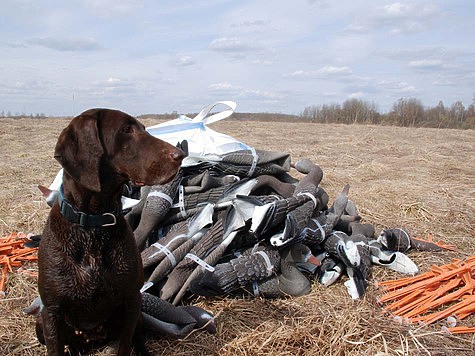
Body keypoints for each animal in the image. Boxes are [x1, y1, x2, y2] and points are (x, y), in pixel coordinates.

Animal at [36, 109, 184, 356]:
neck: (93, 226)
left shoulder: (131, 299)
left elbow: (125, 345)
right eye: (126, 130)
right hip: (40, 322)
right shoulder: (52, 311)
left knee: (137, 337)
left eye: (143, 128)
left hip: (137, 314)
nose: (180, 155)